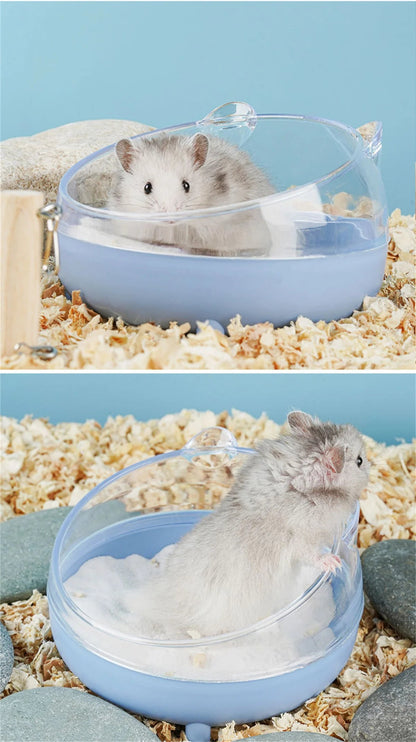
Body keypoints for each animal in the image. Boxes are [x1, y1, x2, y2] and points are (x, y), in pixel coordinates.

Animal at [132, 411, 370, 639]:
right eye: (359, 460)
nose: (370, 465)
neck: (298, 479)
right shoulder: (301, 538)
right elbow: (312, 554)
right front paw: (334, 562)